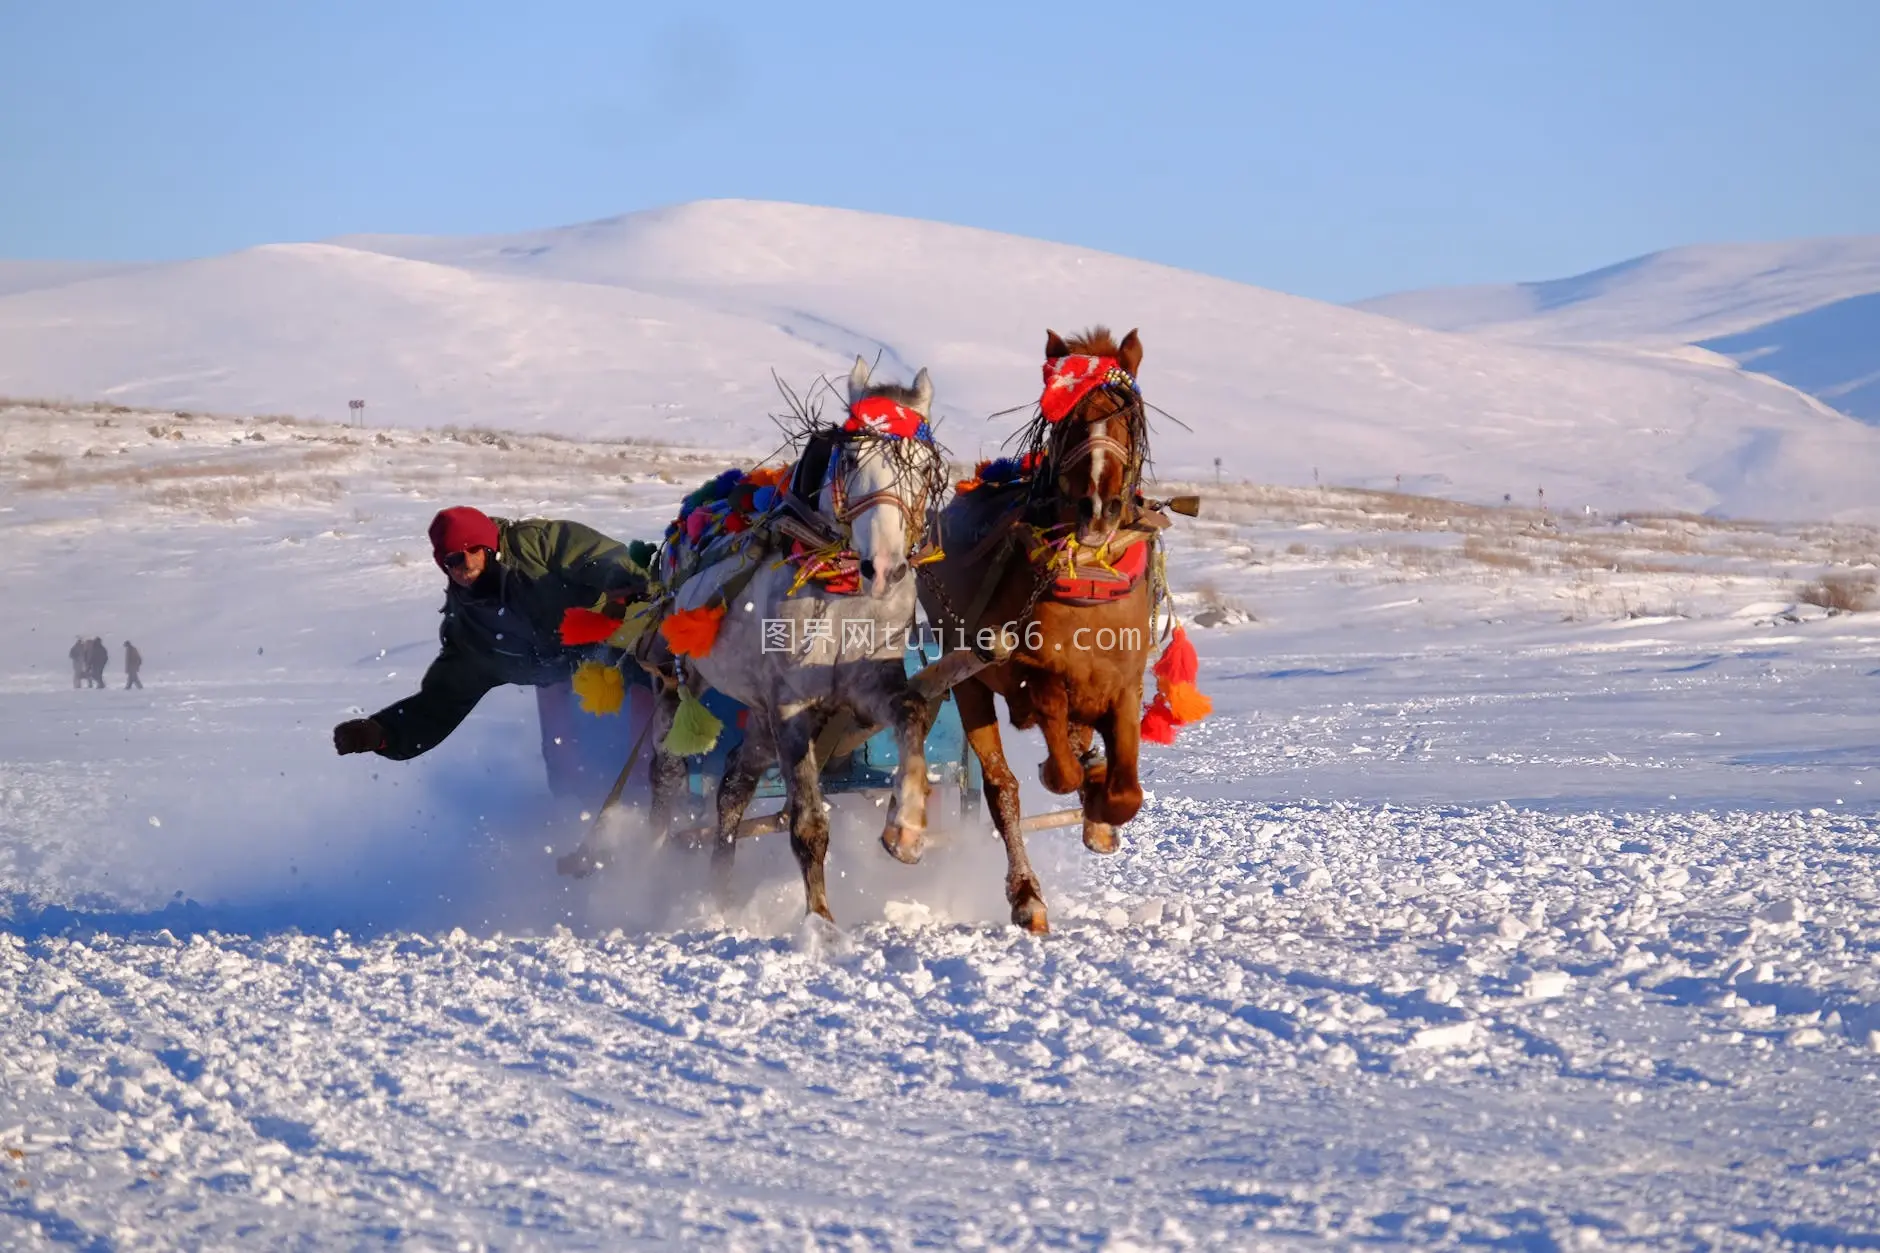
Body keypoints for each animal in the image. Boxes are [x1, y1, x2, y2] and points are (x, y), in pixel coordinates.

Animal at [913, 321, 1158, 925]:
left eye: (1128, 417)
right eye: (1067, 422)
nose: (1099, 506)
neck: (1088, 573)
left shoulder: (1125, 685)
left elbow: (1126, 795)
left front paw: (1100, 808)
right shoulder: (1024, 668)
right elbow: (1053, 758)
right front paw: (1063, 774)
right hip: (968, 679)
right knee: (1001, 788)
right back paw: (1025, 893)